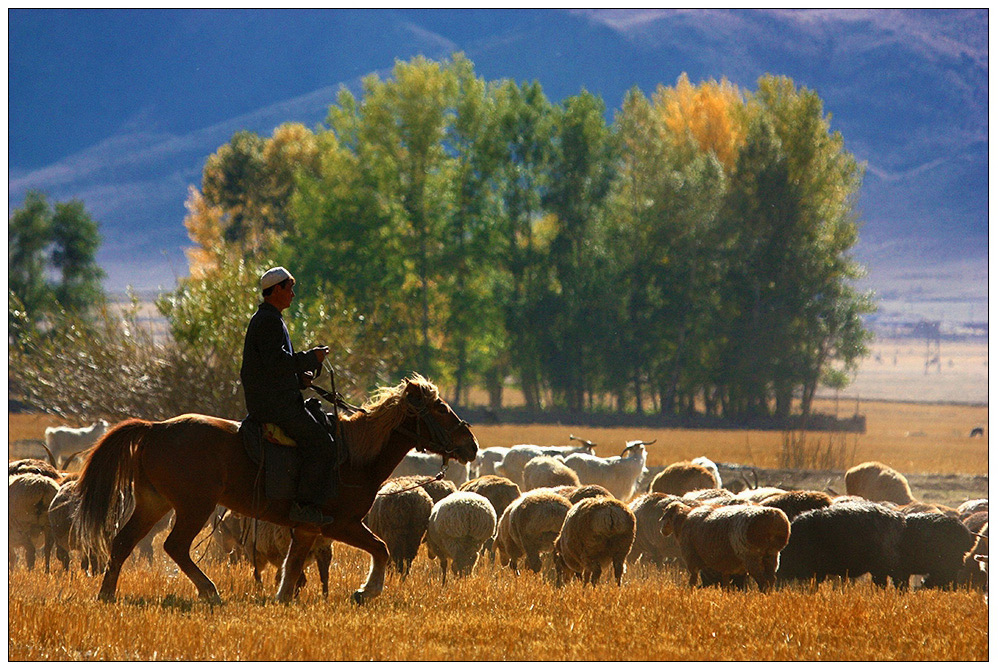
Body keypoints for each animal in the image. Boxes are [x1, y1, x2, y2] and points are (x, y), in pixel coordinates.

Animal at [72, 378, 478, 608]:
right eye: (440, 409)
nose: (471, 445)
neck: (354, 455)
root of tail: (155, 428)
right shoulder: (339, 524)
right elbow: (380, 548)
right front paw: (367, 592)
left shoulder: (309, 529)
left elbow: (294, 564)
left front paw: (284, 598)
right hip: (193, 506)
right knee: (175, 546)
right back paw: (210, 591)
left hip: (154, 503)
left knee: (123, 542)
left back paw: (107, 594)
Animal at [660, 502, 792, 592]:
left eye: (666, 514)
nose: (662, 530)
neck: (683, 521)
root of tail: (773, 519)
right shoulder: (725, 566)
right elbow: (725, 585)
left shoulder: (692, 560)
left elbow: (692, 582)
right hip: (772, 555)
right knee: (771, 579)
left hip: (751, 556)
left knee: (763, 581)